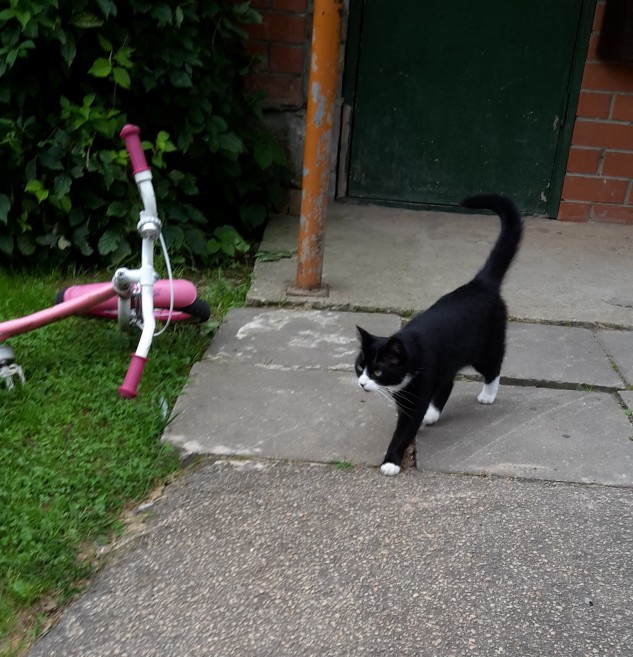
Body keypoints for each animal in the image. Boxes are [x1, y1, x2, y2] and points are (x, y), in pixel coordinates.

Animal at [354, 193, 523, 476]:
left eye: (377, 371)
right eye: (359, 367)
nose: (362, 383)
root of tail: (480, 283)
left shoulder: (419, 389)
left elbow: (404, 430)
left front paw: (391, 461)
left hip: (485, 346)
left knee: (494, 365)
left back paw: (488, 395)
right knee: (449, 381)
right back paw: (433, 414)